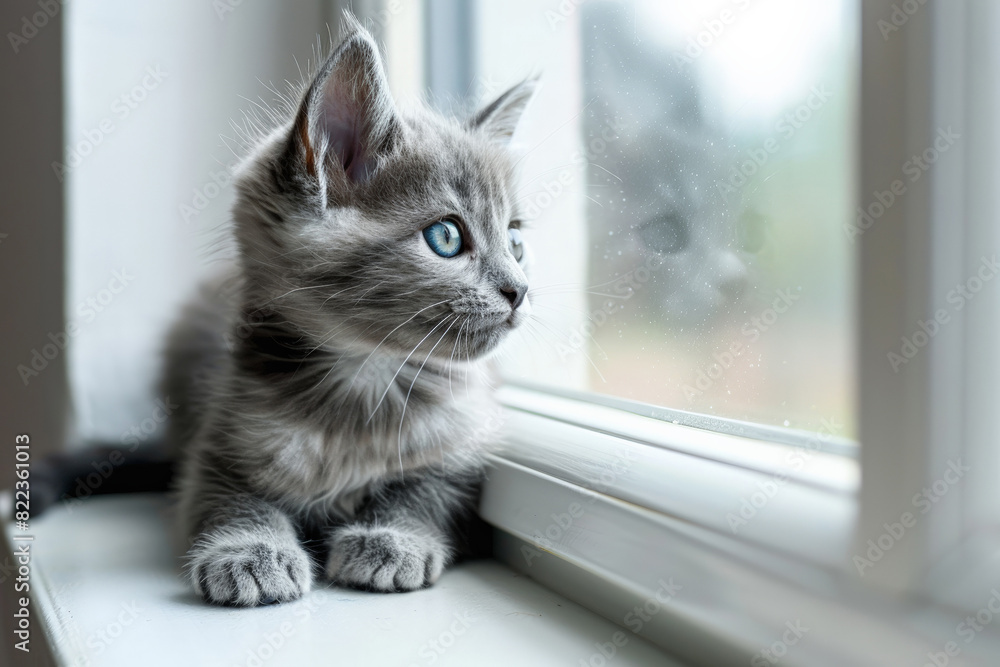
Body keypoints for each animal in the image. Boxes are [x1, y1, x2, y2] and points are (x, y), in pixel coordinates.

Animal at [166, 15, 532, 608]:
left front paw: (391, 540)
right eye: (447, 237)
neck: (365, 386)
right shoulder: (220, 438)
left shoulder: (468, 443)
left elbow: (428, 488)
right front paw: (249, 552)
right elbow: (224, 496)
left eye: (516, 242)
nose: (519, 290)